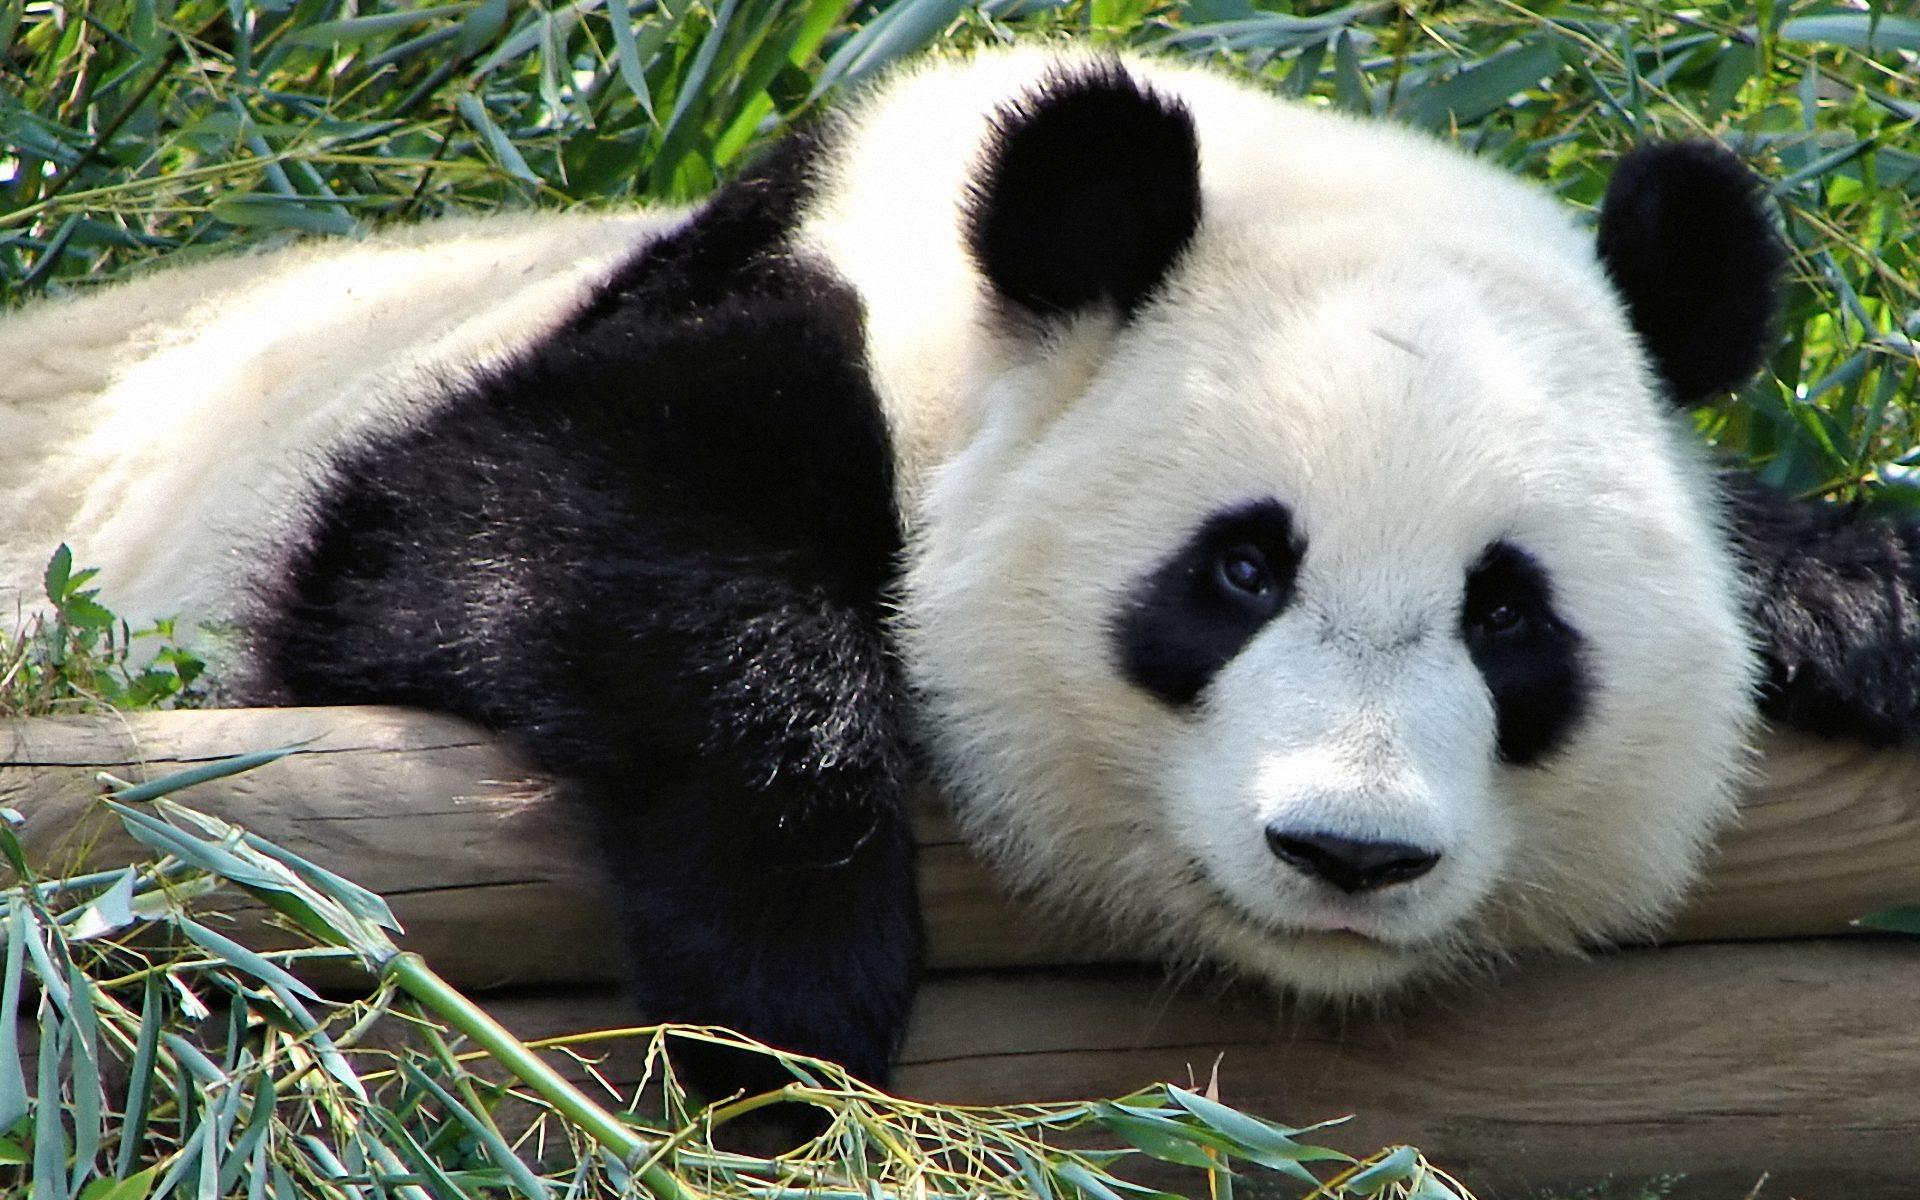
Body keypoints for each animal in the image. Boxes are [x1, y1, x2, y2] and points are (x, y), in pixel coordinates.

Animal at [6, 45, 1920, 1095]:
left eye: (1509, 615)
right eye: (1238, 573)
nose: (1350, 852)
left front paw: (1860, 602)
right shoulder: (707, 337)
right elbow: (486, 537)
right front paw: (789, 995)